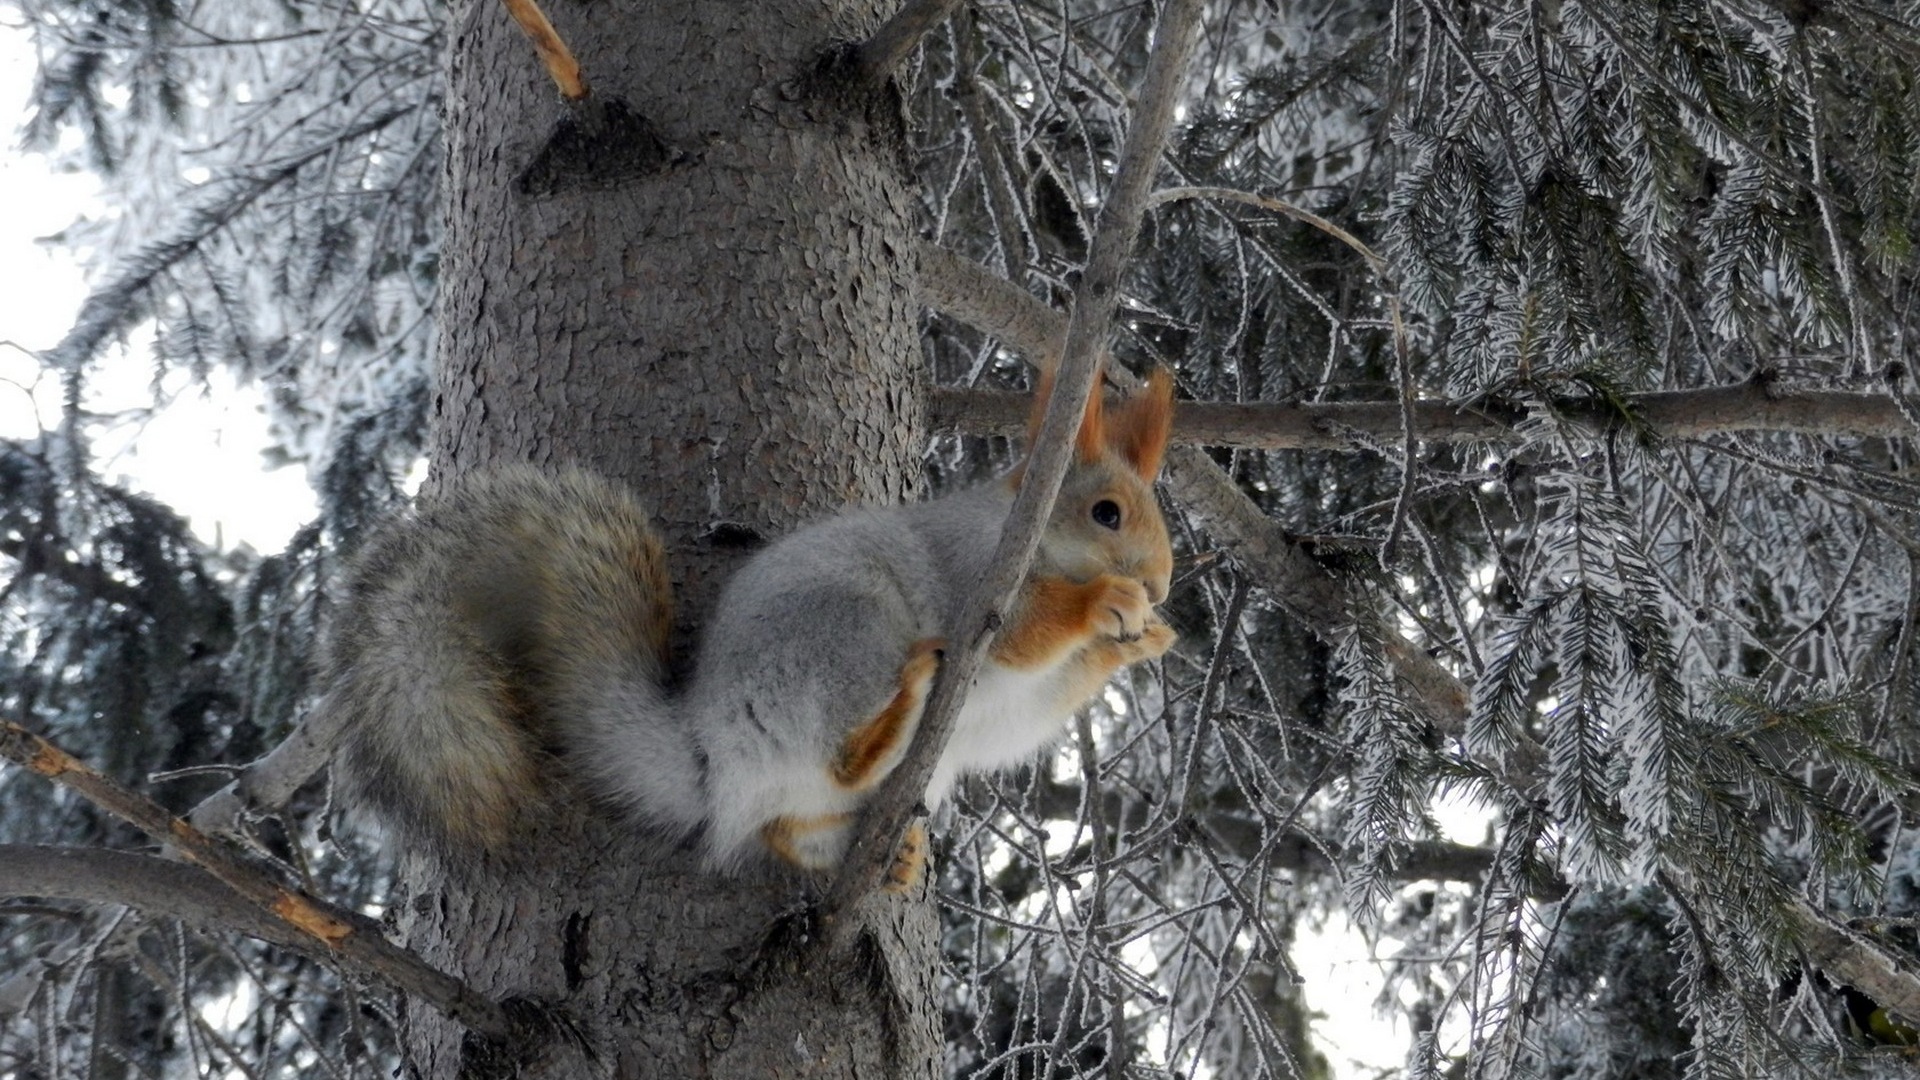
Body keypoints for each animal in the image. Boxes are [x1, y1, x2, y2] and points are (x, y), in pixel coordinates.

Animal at [322, 368, 1175, 883]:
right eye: (1106, 513)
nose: (1163, 582)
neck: (1026, 532)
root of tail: (714, 759)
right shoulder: (976, 574)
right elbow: (1024, 630)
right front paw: (1106, 604)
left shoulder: (1028, 699)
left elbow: (1037, 705)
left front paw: (1147, 638)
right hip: (844, 637)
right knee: (841, 759)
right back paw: (896, 716)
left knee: (789, 828)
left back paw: (886, 855)